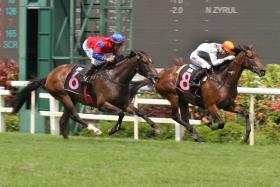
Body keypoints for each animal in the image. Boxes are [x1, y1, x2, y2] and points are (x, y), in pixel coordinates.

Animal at [11, 50, 160, 138]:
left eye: (152, 61)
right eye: (145, 62)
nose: (157, 77)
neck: (115, 78)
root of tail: (49, 75)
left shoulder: (123, 103)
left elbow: (140, 112)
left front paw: (156, 128)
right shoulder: (102, 104)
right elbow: (121, 113)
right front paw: (112, 130)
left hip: (72, 98)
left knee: (63, 119)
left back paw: (66, 138)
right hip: (62, 95)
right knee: (74, 115)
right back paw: (94, 129)